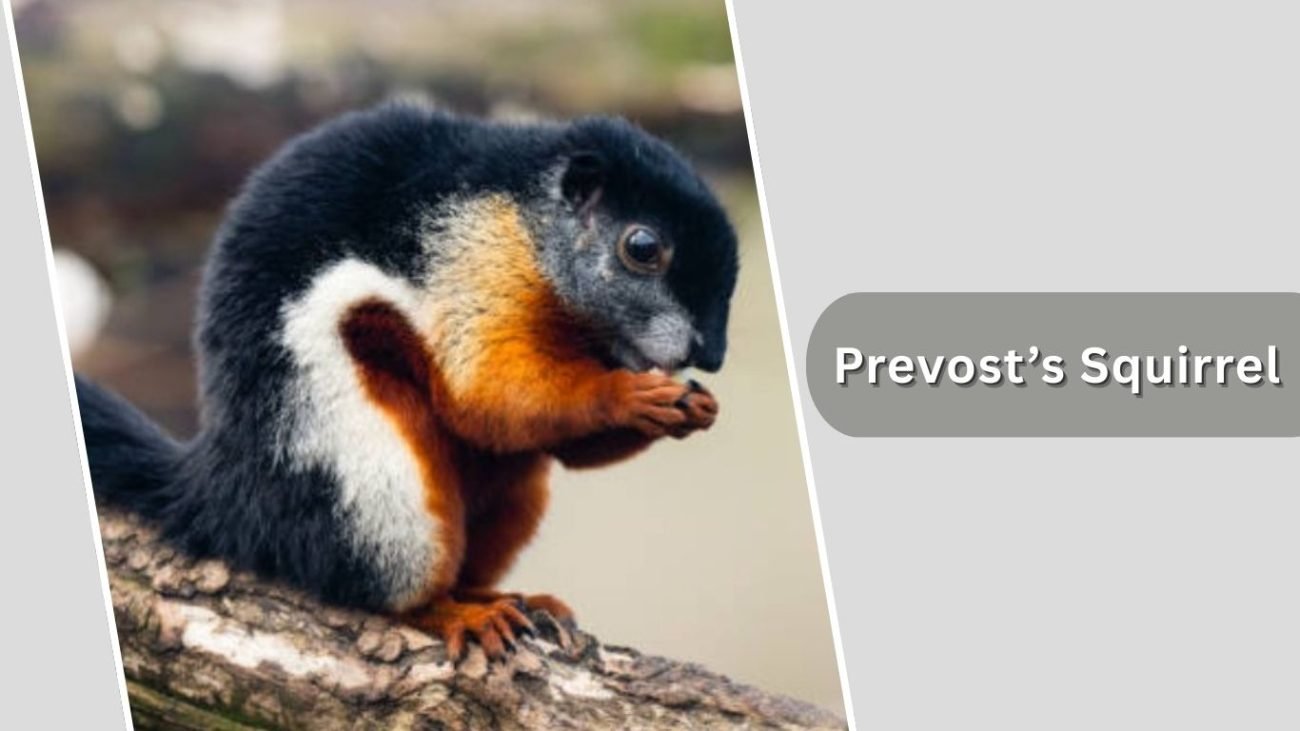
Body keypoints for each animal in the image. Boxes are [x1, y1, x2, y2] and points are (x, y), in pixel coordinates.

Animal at [74, 102, 739, 659]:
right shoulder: (474, 261)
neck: (532, 226)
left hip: (508, 494)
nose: (709, 355)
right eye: (642, 247)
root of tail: (231, 497)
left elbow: (557, 441)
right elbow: (488, 395)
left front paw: (694, 408)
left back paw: (505, 599)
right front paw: (629, 395)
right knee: (388, 585)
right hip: (375, 486)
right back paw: (452, 615)